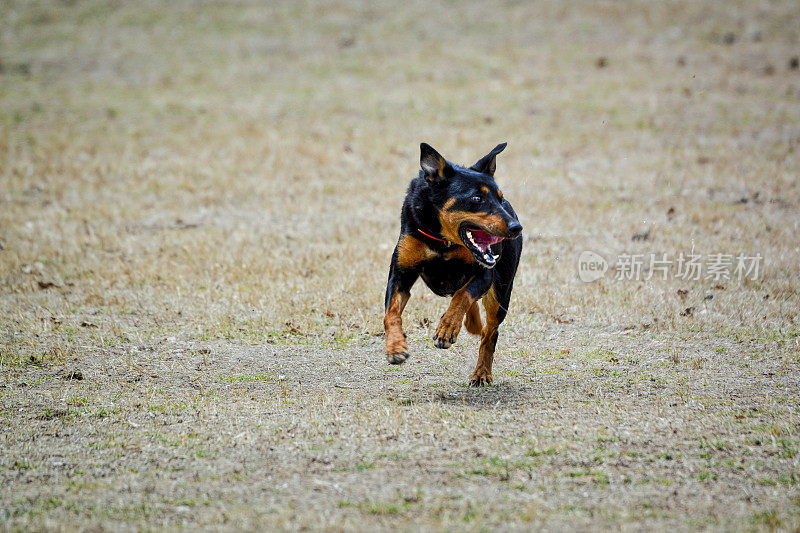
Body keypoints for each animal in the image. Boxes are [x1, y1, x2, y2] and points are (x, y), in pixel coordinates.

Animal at [382, 141, 520, 384]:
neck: (442, 241)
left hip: (501, 293)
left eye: (500, 198)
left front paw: (447, 328)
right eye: (477, 199)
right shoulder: (401, 274)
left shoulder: (485, 273)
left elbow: (462, 295)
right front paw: (395, 348)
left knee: (490, 332)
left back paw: (481, 373)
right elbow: (391, 313)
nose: (516, 227)